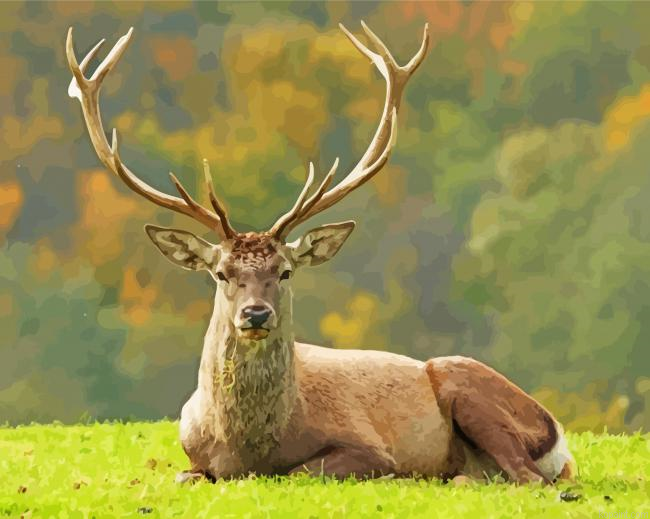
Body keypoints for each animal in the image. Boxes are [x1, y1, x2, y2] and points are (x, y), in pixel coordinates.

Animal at [65, 22, 575, 485]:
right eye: (221, 273)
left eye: (286, 271)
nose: (256, 314)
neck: (247, 448)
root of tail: (560, 437)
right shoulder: (191, 455)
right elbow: (184, 476)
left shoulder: (367, 446)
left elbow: (301, 472)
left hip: (468, 387)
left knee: (527, 476)